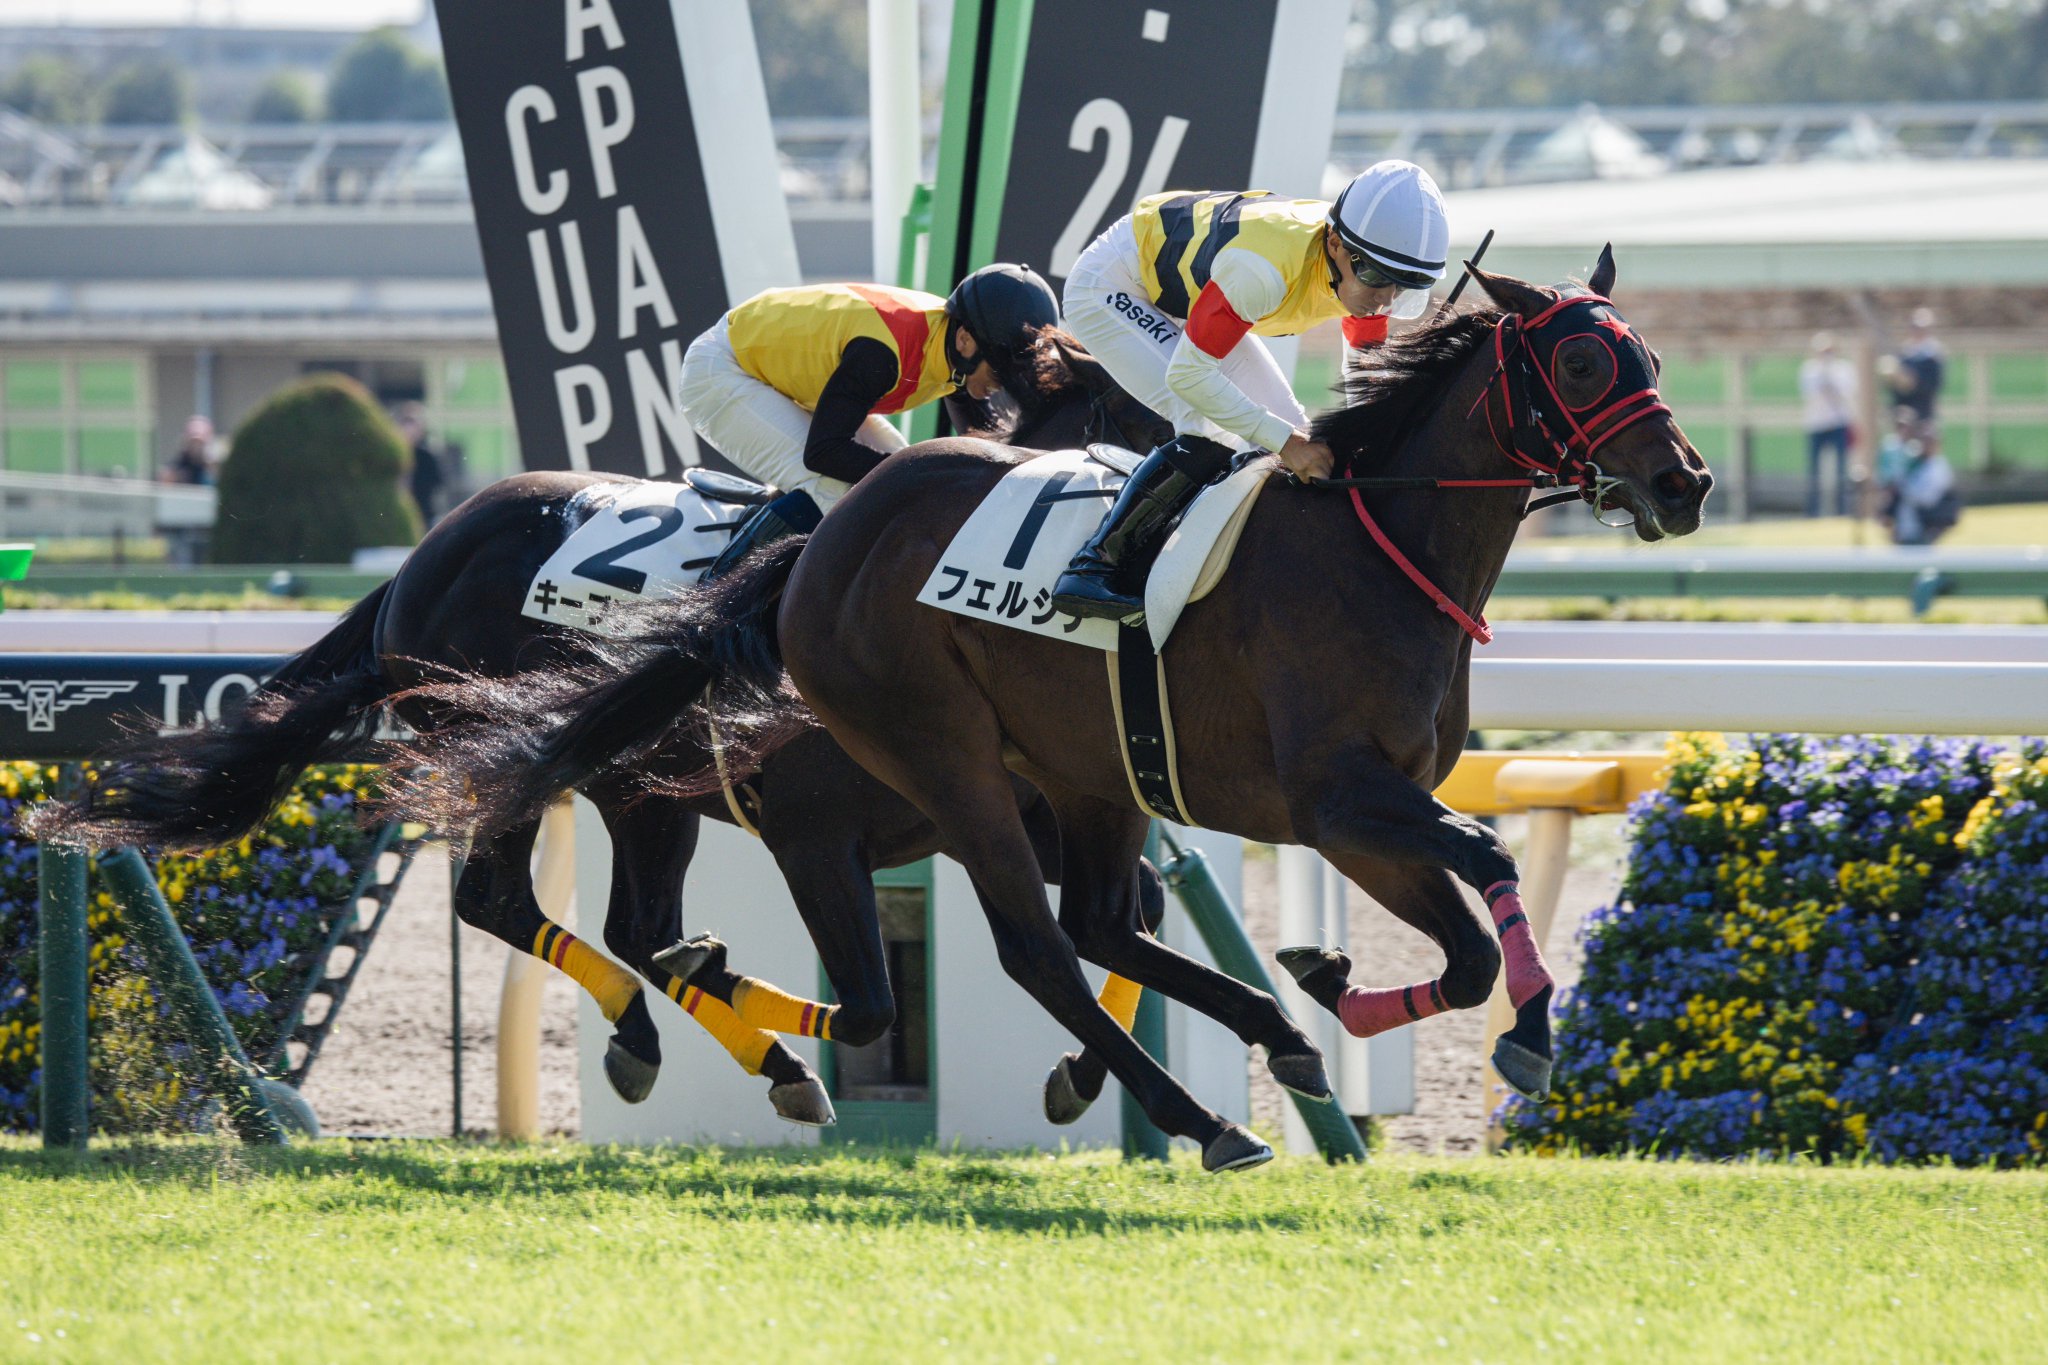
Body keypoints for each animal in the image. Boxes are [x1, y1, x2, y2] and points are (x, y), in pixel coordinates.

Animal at [32, 339, 1179, 1129]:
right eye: (1126, 411)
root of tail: (419, 562)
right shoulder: (825, 826)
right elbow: (889, 995)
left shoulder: (1004, 806)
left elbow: (1130, 914)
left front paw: (1086, 1071)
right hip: (518, 757)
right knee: (504, 901)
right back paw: (677, 1033)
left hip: (637, 792)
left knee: (625, 923)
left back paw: (698, 1036)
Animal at [385, 255, 1712, 1178]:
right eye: (1581, 366)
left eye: (1647, 354)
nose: (1683, 483)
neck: (1371, 545)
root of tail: (822, 552)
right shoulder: (1335, 800)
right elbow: (1485, 860)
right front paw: (1513, 1031)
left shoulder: (1363, 816)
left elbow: (1465, 941)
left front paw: (1333, 987)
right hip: (945, 762)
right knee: (1033, 947)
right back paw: (1190, 1117)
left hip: (1076, 770)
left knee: (1080, 929)